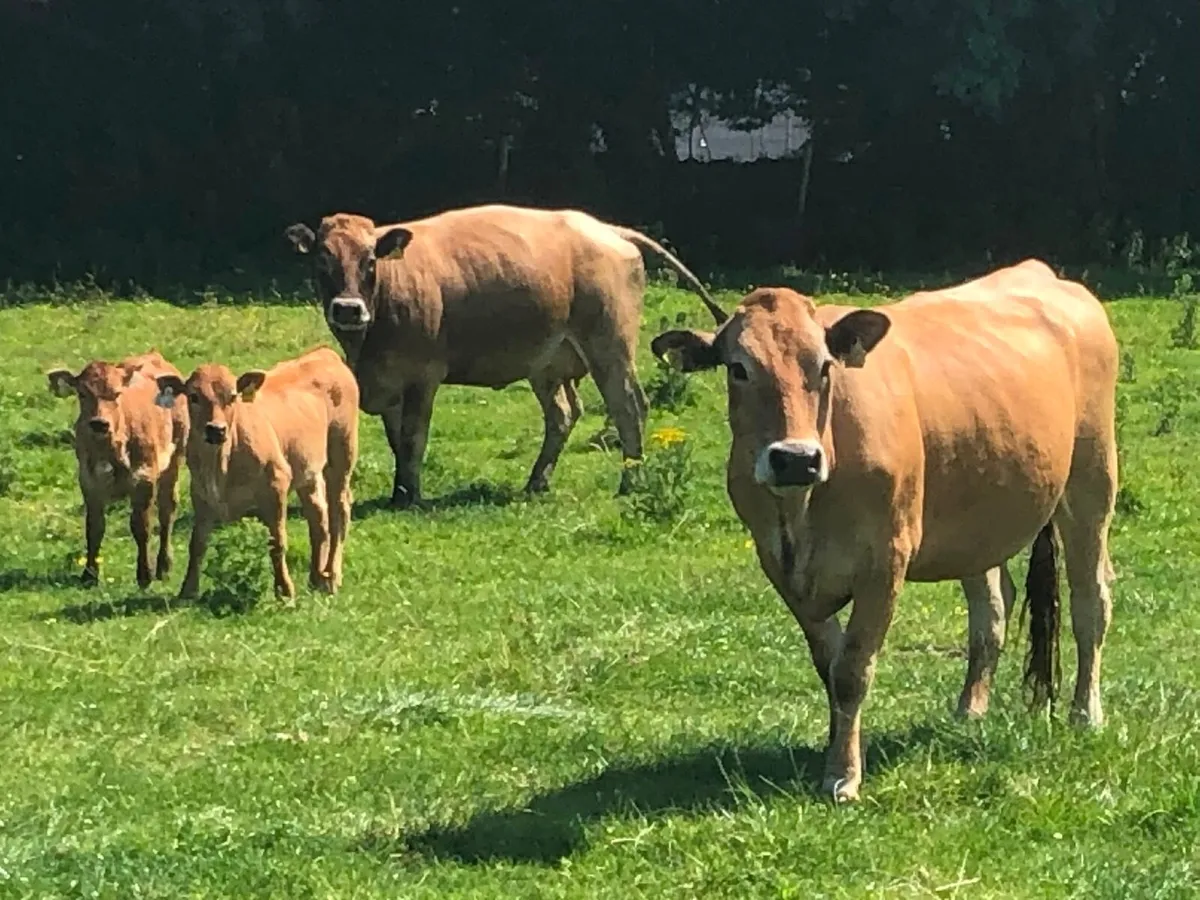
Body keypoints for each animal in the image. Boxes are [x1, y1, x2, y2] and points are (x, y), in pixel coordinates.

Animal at [47, 351, 189, 589]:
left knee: (167, 510)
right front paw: (89, 574)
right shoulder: (88, 482)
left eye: (116, 394)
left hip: (175, 457)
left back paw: (164, 567)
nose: (99, 423)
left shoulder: (144, 479)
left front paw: (144, 575)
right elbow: (94, 527)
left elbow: (141, 527)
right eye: (82, 393)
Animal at [153, 347, 359, 600]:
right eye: (193, 397)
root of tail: (323, 352)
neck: (220, 464)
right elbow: (198, 542)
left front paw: (284, 591)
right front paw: (188, 590)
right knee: (318, 516)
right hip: (308, 471)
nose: (216, 430)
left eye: (232, 397)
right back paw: (316, 577)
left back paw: (331, 577)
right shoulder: (200, 493)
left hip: (342, 453)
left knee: (339, 510)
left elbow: (277, 541)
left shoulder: (276, 484)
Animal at [284, 203, 726, 508]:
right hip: (547, 363)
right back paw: (536, 482)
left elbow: (413, 437)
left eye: (370, 260)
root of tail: (605, 228)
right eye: (322, 261)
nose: (347, 308)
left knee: (628, 407)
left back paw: (629, 483)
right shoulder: (389, 382)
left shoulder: (423, 376)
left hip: (610, 347)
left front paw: (411, 498)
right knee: (563, 414)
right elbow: (396, 441)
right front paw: (399, 492)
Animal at [650, 259, 1118, 802]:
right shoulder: (779, 567)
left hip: (1092, 482)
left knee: (1091, 602)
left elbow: (853, 670)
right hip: (977, 514)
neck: (804, 510)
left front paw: (843, 774)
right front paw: (836, 745)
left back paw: (1086, 714)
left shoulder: (884, 562)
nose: (795, 459)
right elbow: (828, 667)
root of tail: (1044, 274)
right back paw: (969, 710)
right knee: (993, 608)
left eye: (824, 366)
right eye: (738, 368)